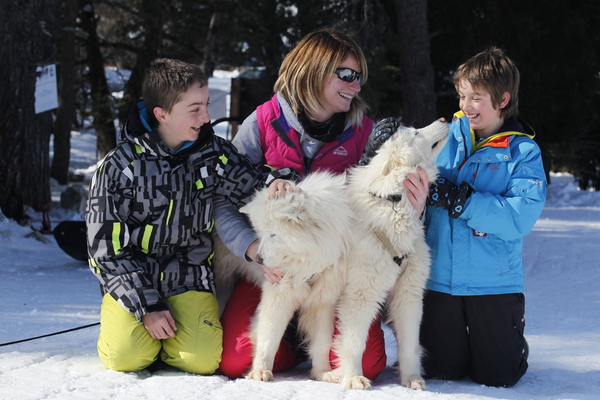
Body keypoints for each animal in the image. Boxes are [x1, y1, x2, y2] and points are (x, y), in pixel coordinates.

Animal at [213, 120, 448, 390]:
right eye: (417, 132)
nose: (443, 119)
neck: (389, 206)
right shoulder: (352, 295)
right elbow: (275, 336)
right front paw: (353, 378)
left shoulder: (405, 294)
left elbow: (407, 344)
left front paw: (411, 380)